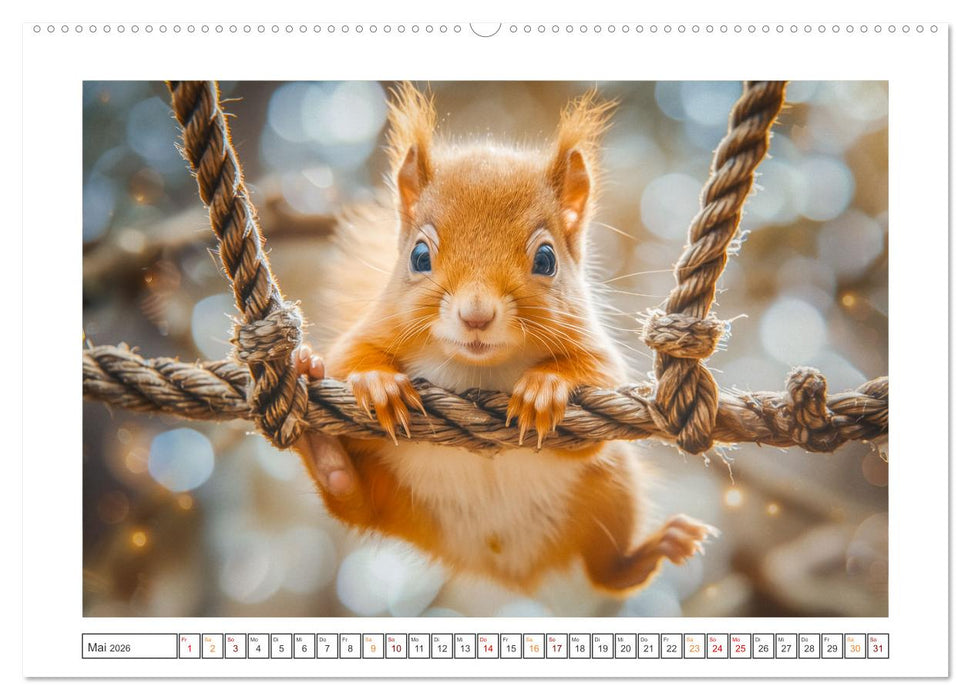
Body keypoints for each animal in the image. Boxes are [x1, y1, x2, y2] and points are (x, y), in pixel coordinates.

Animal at [295, 83, 717, 595]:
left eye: (546, 260)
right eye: (418, 256)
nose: (476, 315)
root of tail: (502, 563)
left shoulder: (592, 349)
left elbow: (595, 379)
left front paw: (545, 388)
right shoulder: (377, 325)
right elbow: (349, 357)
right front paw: (376, 382)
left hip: (612, 490)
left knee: (608, 571)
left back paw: (655, 548)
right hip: (389, 496)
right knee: (350, 498)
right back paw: (319, 435)